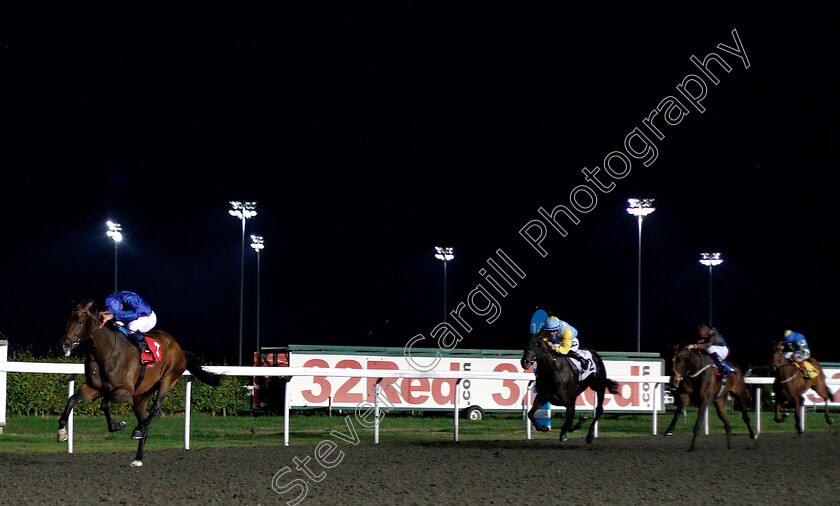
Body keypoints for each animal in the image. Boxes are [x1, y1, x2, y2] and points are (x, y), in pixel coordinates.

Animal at [56, 300, 223, 466]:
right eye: (65, 320)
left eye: (80, 321)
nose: (64, 345)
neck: (105, 352)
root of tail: (180, 350)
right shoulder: (94, 388)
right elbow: (72, 399)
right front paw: (62, 432)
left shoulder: (126, 391)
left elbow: (104, 403)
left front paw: (117, 425)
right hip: (142, 395)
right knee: (145, 423)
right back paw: (138, 457)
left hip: (168, 379)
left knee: (156, 410)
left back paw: (138, 430)